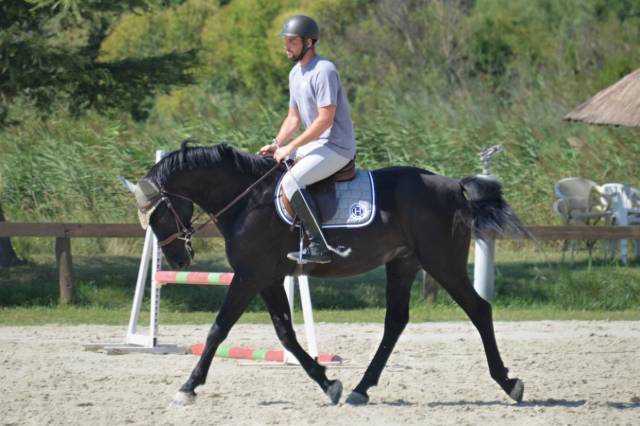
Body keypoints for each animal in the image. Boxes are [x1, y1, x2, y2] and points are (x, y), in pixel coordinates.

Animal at [124, 141, 525, 406]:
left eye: (158, 216)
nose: (178, 261)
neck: (246, 199)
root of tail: (454, 186)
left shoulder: (250, 276)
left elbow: (218, 329)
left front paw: (188, 387)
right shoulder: (268, 279)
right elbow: (285, 334)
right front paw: (328, 383)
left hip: (442, 262)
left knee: (479, 309)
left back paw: (508, 383)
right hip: (403, 263)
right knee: (395, 321)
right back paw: (360, 389)